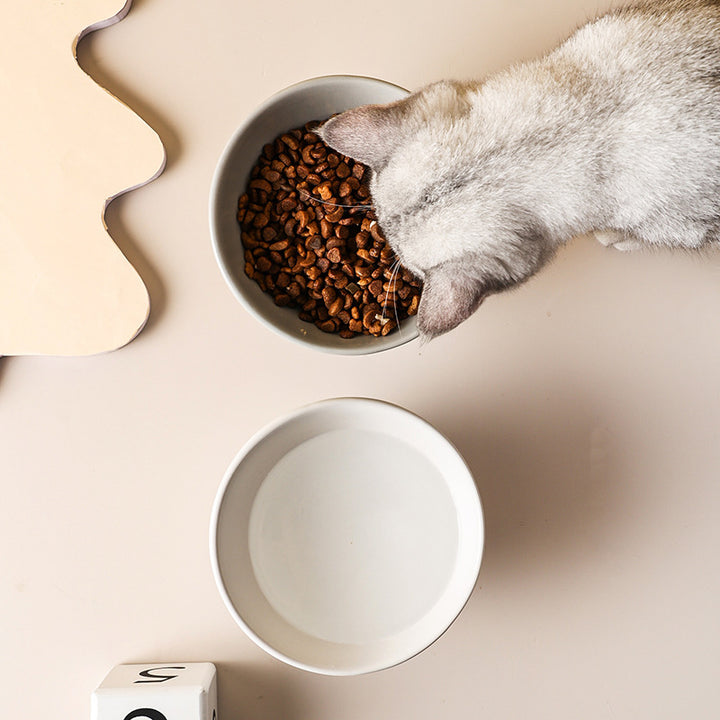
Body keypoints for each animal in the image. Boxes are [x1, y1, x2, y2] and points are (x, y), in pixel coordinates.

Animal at [320, 0, 720, 340]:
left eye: (410, 268)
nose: (383, 237)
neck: (584, 121)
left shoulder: (684, 226)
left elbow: (634, 234)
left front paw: (613, 237)